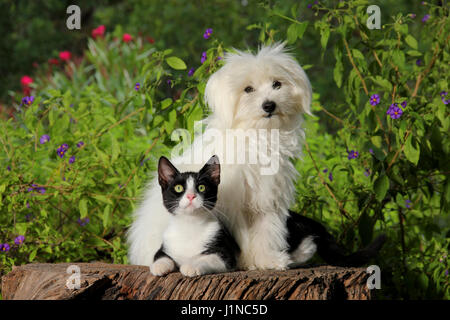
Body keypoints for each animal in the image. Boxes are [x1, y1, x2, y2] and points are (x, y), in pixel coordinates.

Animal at [126, 43, 312, 270]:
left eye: (277, 84)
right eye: (248, 89)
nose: (269, 105)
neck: (256, 134)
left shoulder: (267, 201)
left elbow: (267, 231)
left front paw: (267, 260)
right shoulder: (234, 207)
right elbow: (242, 237)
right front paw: (245, 261)